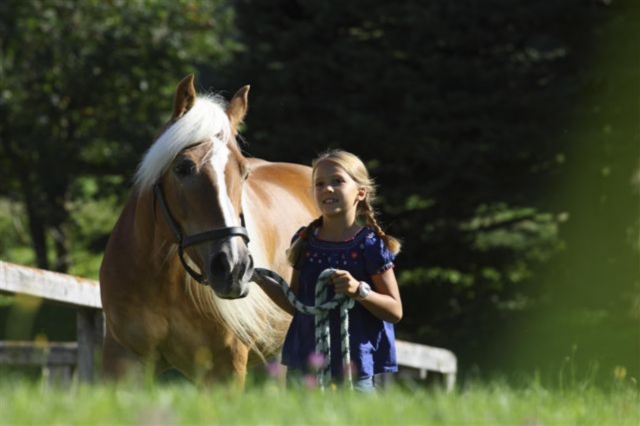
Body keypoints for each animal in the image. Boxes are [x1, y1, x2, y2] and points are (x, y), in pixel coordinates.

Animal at [99, 75, 318, 386]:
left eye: (244, 172)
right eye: (183, 167)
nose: (234, 267)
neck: (163, 281)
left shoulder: (224, 369)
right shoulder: (122, 360)